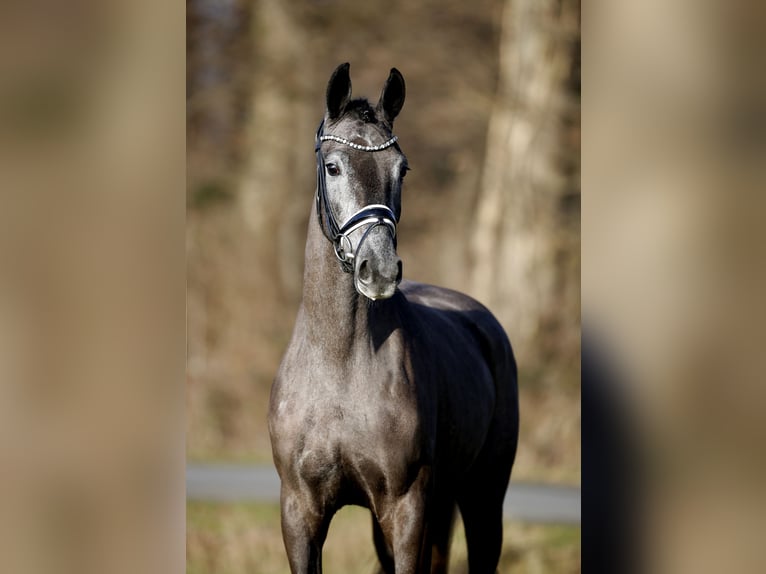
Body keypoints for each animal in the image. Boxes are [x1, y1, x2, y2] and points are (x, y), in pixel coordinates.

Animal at [268, 62, 519, 574]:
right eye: (333, 166)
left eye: (401, 169)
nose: (379, 269)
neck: (340, 364)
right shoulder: (299, 513)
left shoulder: (405, 508)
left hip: (482, 498)